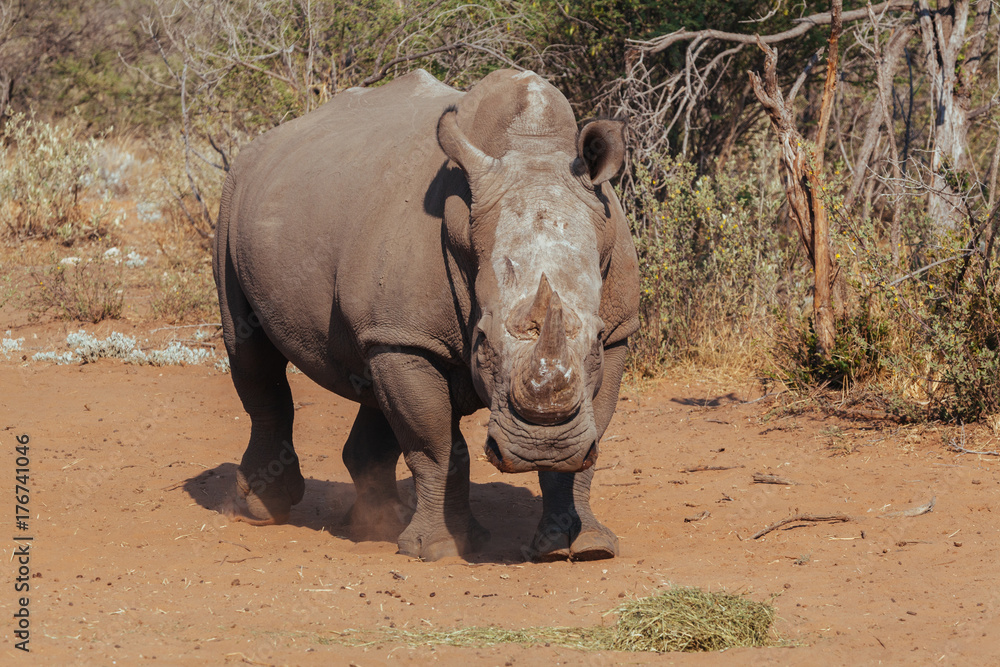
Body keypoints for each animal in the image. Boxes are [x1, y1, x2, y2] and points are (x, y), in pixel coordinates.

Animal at [213, 68, 639, 561]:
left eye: (595, 340)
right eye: (482, 344)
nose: (542, 447)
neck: (531, 147)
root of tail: (260, 145)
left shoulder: (619, 331)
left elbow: (592, 436)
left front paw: (584, 546)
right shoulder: (407, 335)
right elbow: (436, 445)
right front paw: (440, 549)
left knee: (367, 375)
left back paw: (375, 522)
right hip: (232, 200)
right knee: (251, 354)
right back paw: (263, 512)